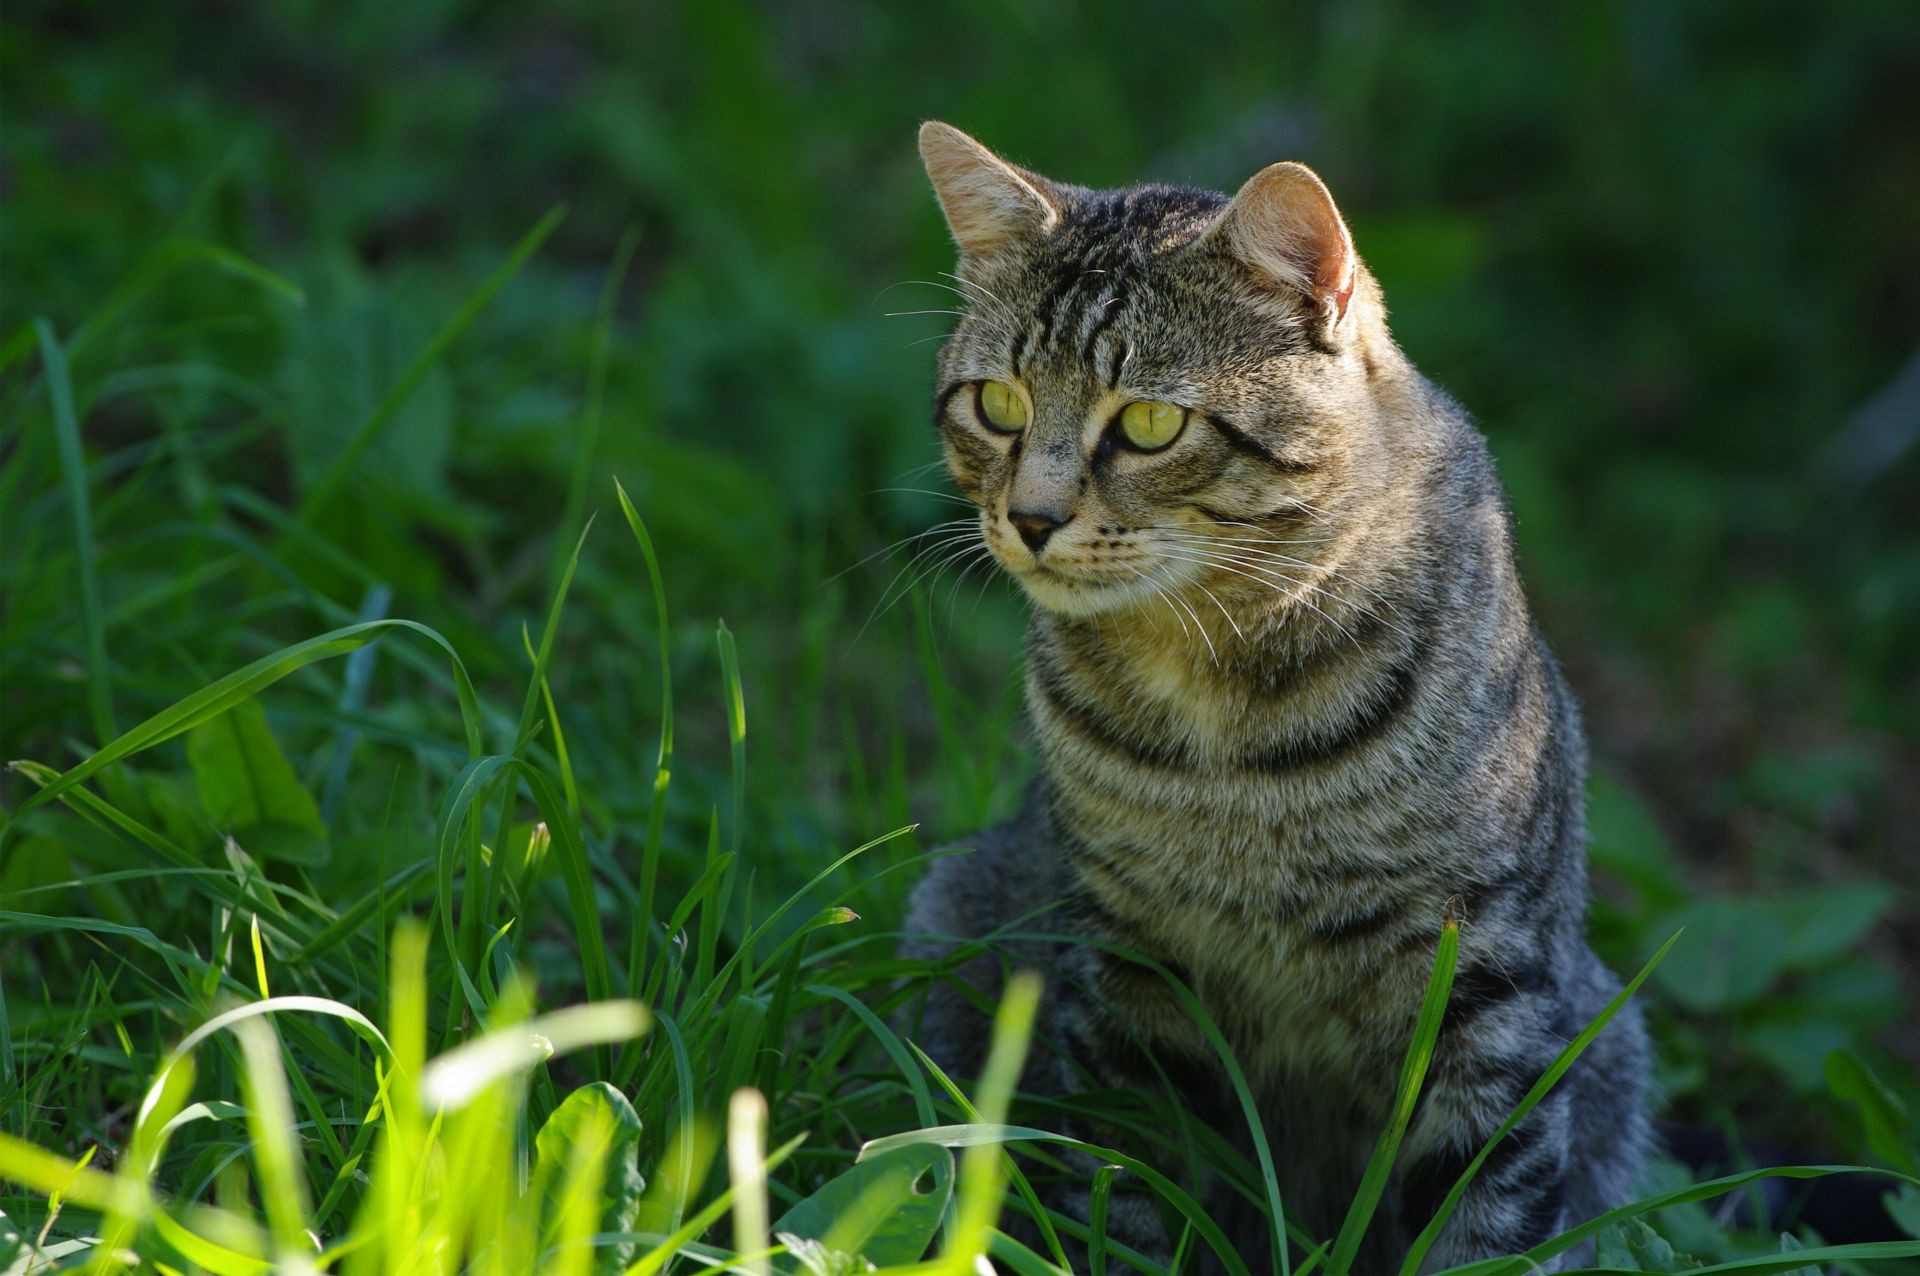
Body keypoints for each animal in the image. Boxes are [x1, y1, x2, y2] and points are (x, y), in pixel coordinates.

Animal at [898, 121, 1651, 1274]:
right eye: (998, 405)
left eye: (1149, 423)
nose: (1029, 518)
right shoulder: (1128, 966)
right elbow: (1132, 1184)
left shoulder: (1486, 981)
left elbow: (1485, 1213)